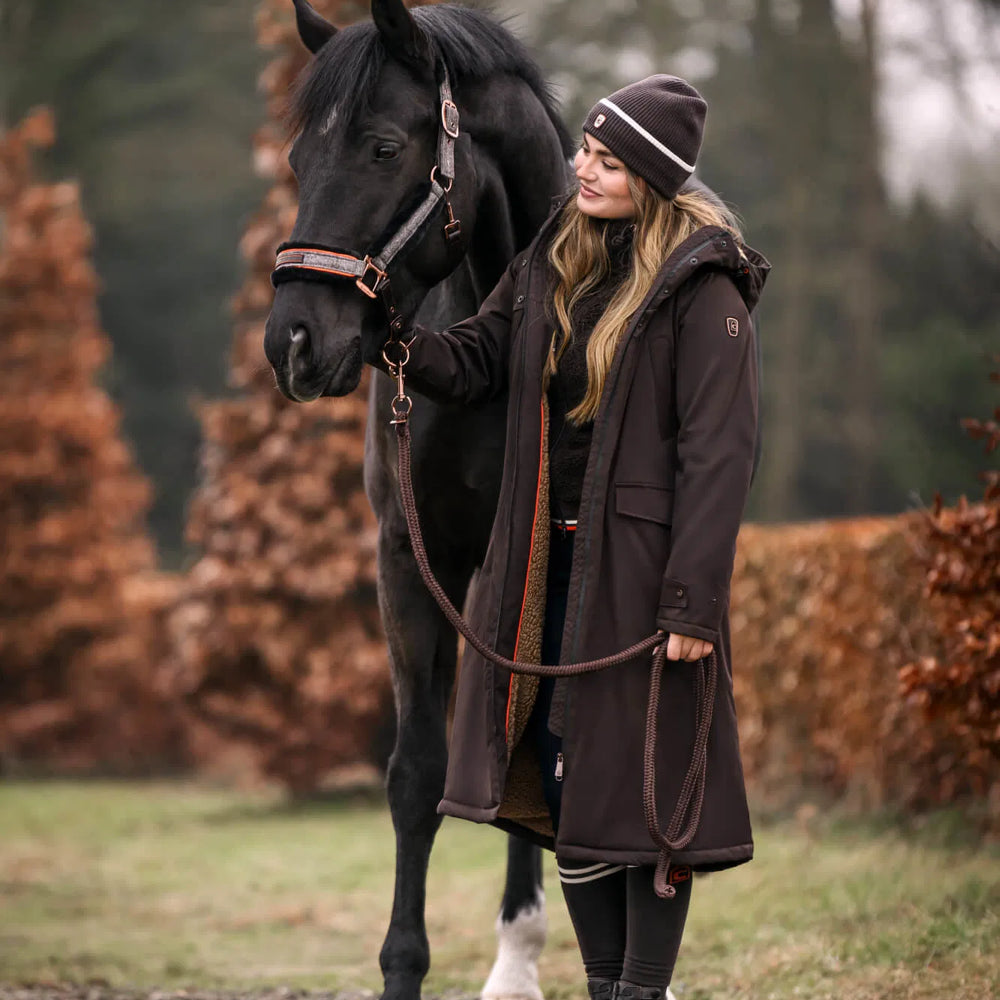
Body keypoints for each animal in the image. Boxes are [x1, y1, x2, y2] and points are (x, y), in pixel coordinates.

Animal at [263, 3, 573, 999]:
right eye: (298, 158)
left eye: (383, 147)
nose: (292, 341)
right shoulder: (409, 556)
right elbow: (416, 774)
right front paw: (403, 967)